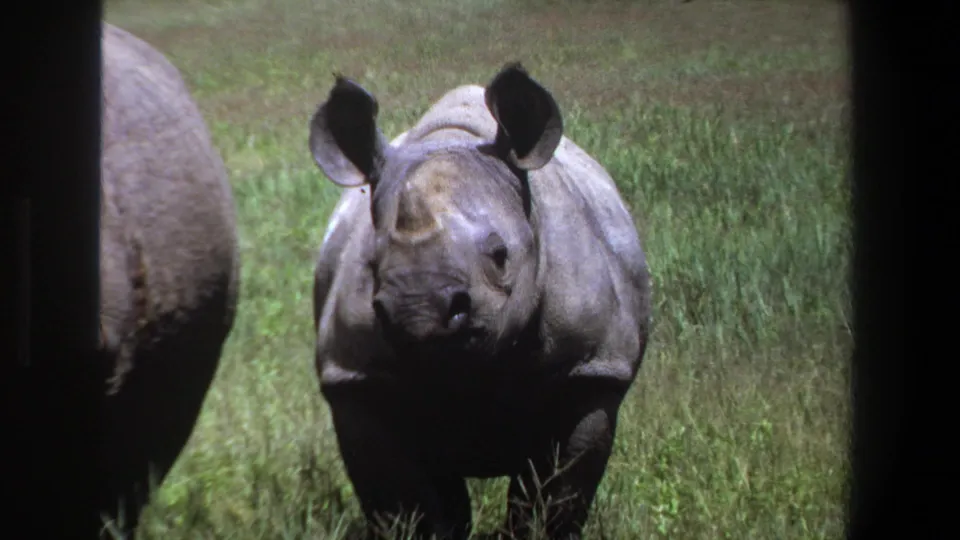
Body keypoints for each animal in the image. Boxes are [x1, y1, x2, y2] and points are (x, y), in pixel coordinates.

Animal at [309, 63, 652, 540]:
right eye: (372, 263)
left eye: (500, 255)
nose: (419, 310)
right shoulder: (355, 379)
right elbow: (405, 505)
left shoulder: (591, 368)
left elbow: (551, 500)